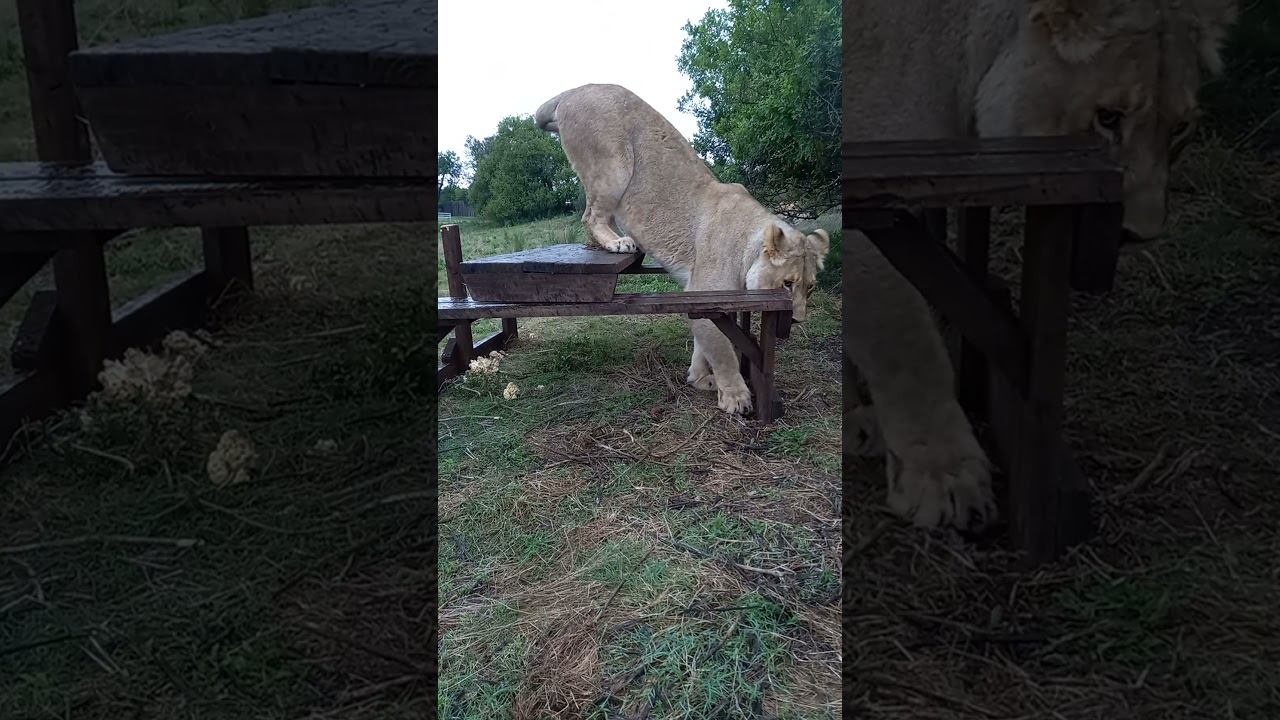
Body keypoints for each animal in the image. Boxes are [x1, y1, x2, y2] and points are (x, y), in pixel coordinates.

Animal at [535, 84, 830, 416]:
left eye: (811, 287)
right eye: (787, 283)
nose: (797, 320)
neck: (748, 244)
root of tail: (574, 90)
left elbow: (705, 344)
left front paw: (699, 378)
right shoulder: (703, 293)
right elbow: (722, 349)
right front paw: (736, 396)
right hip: (613, 164)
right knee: (591, 216)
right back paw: (617, 242)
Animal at [841, 0, 1239, 531]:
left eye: (1179, 129)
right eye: (1108, 118)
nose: (1142, 234)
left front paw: (866, 425)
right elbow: (903, 341)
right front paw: (945, 477)